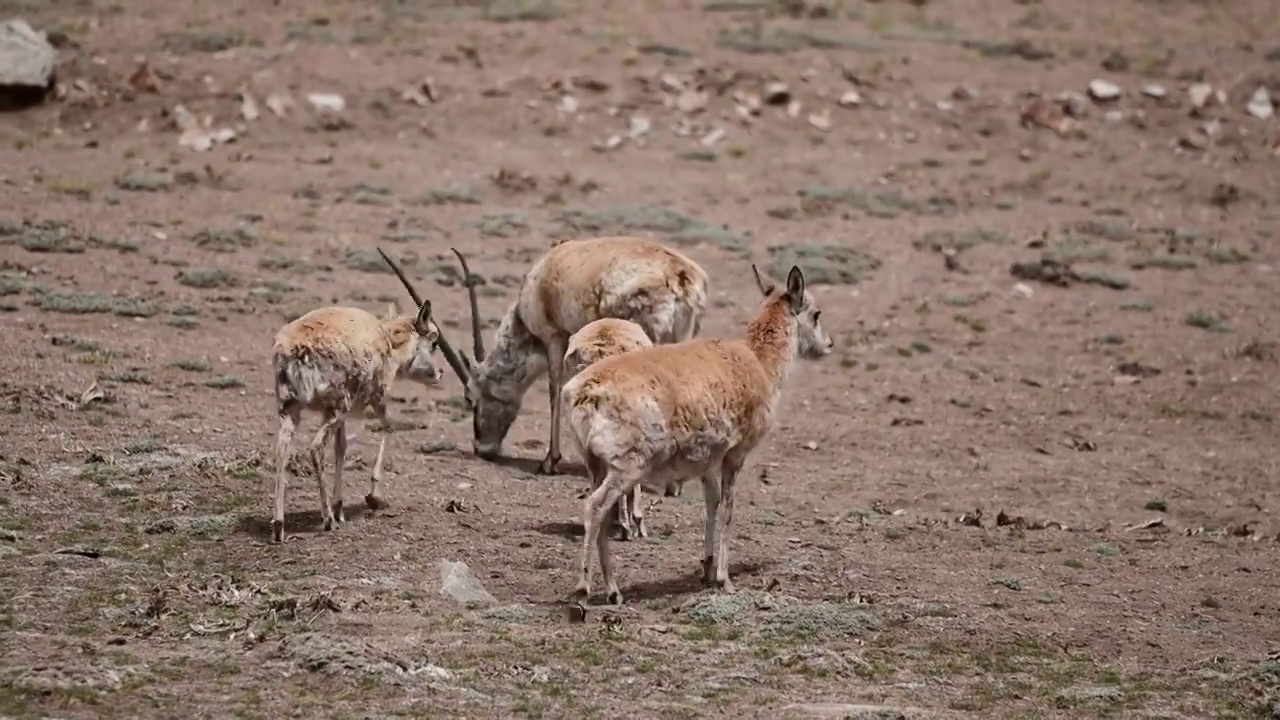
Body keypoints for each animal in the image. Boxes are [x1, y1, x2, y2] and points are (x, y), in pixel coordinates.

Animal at [384, 234, 716, 476]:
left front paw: (549, 461)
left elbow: (555, 388)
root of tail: (681, 276)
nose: (483, 449)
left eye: (470, 398)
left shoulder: (555, 338)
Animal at [560, 260, 829, 602]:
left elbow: (711, 506)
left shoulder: (708, 464)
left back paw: (613, 592)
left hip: (595, 464)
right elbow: (728, 511)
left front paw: (708, 569)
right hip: (626, 467)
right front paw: (725, 579)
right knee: (594, 507)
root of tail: (584, 391)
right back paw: (585, 588)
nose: (828, 345)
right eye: (816, 313)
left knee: (603, 512)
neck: (759, 362)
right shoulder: (735, 457)